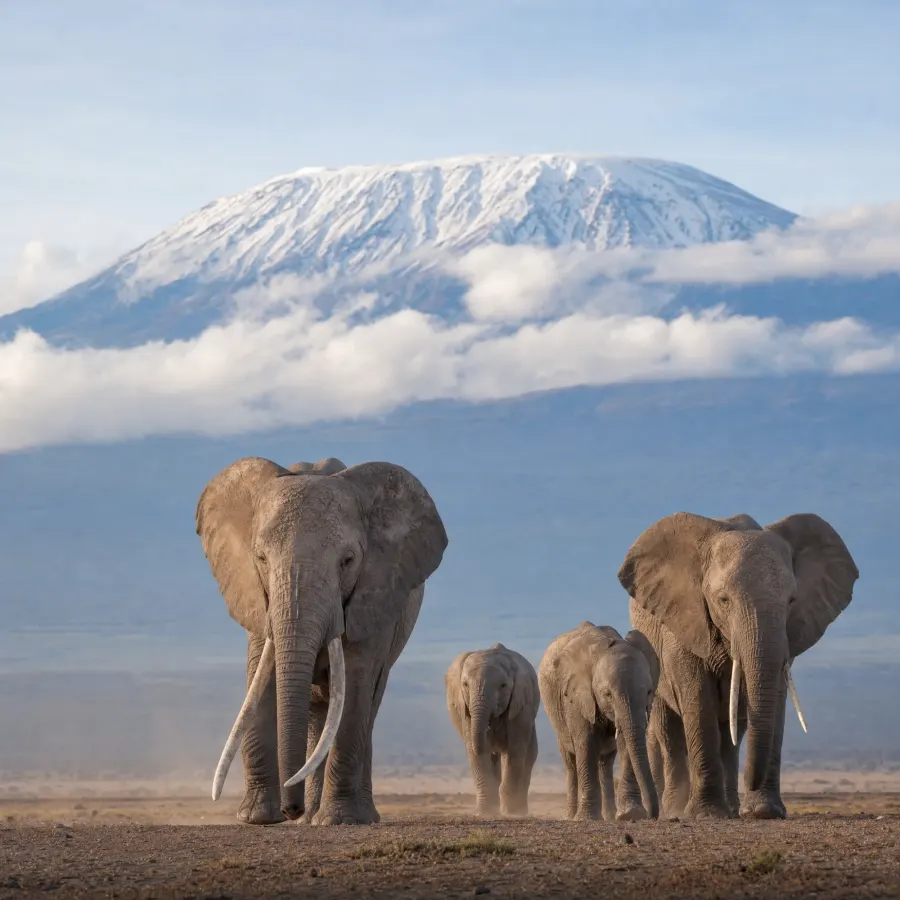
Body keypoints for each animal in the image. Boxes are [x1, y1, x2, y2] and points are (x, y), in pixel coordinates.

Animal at [196, 455, 448, 826]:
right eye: (261, 558)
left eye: (348, 561)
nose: (291, 809)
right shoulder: (255, 595)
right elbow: (260, 677)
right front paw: (258, 819)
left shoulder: (373, 597)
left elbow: (355, 689)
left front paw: (339, 821)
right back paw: (309, 817)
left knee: (365, 709)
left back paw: (349, 816)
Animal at [445, 643, 540, 817]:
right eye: (465, 685)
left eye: (503, 686)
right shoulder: (465, 710)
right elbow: (475, 753)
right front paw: (485, 813)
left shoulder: (521, 705)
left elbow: (515, 750)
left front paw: (511, 813)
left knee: (529, 756)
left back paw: (520, 810)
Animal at [538, 622, 660, 821]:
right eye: (607, 694)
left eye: (649, 692)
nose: (652, 815)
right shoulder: (576, 697)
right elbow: (586, 743)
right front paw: (586, 819)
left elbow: (626, 743)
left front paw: (629, 814)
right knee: (570, 762)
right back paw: (570, 816)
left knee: (606, 762)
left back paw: (609, 815)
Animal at [618, 511, 858, 820]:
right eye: (723, 600)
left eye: (792, 600)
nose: (751, 784)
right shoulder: (682, 622)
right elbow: (698, 699)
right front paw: (708, 815)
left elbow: (773, 697)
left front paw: (765, 812)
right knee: (668, 732)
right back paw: (675, 810)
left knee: (733, 733)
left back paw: (730, 807)